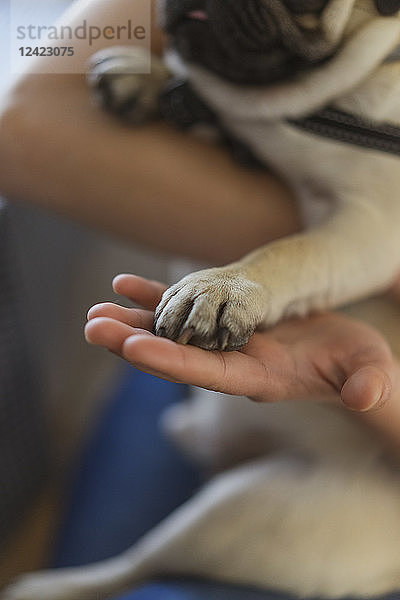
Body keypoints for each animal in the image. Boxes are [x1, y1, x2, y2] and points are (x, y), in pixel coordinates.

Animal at [3, 1, 400, 600]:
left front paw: (224, 287)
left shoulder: (374, 225)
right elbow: (225, 107)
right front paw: (150, 79)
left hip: (256, 512)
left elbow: (290, 251)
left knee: (134, 566)